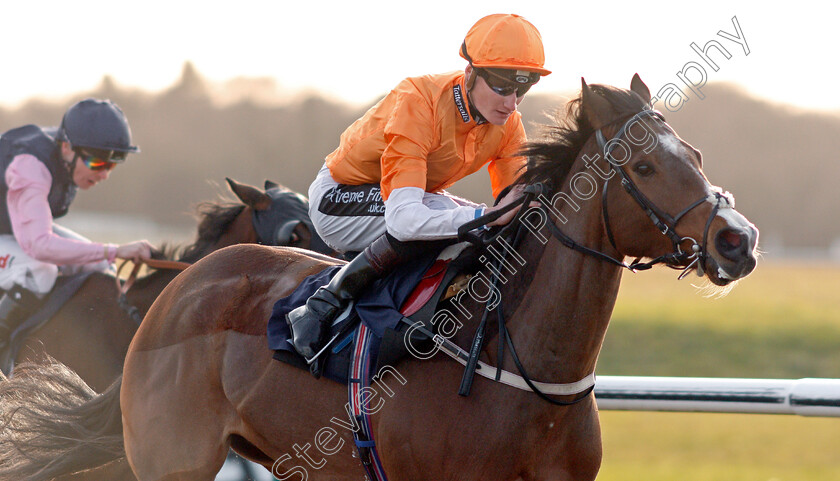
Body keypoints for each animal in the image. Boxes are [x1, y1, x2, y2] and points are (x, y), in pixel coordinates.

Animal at [0, 75, 760, 480]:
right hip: (171, 456)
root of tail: (181, 290)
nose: (739, 239)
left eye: (694, 153)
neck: (526, 370)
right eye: (645, 167)